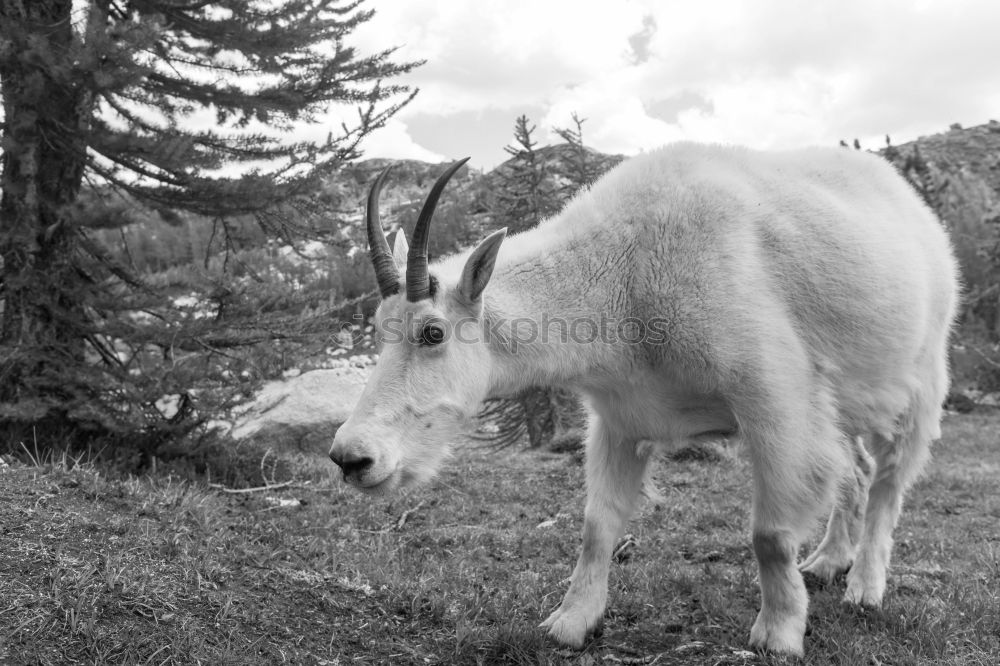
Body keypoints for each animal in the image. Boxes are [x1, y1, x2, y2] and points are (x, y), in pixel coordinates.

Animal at [330, 143, 960, 656]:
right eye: (379, 329)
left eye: (433, 332)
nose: (351, 458)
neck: (621, 277)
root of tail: (916, 209)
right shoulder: (620, 419)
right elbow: (597, 525)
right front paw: (570, 623)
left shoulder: (775, 400)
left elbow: (770, 535)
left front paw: (779, 634)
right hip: (844, 404)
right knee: (857, 468)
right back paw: (829, 561)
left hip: (922, 375)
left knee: (889, 480)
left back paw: (865, 587)